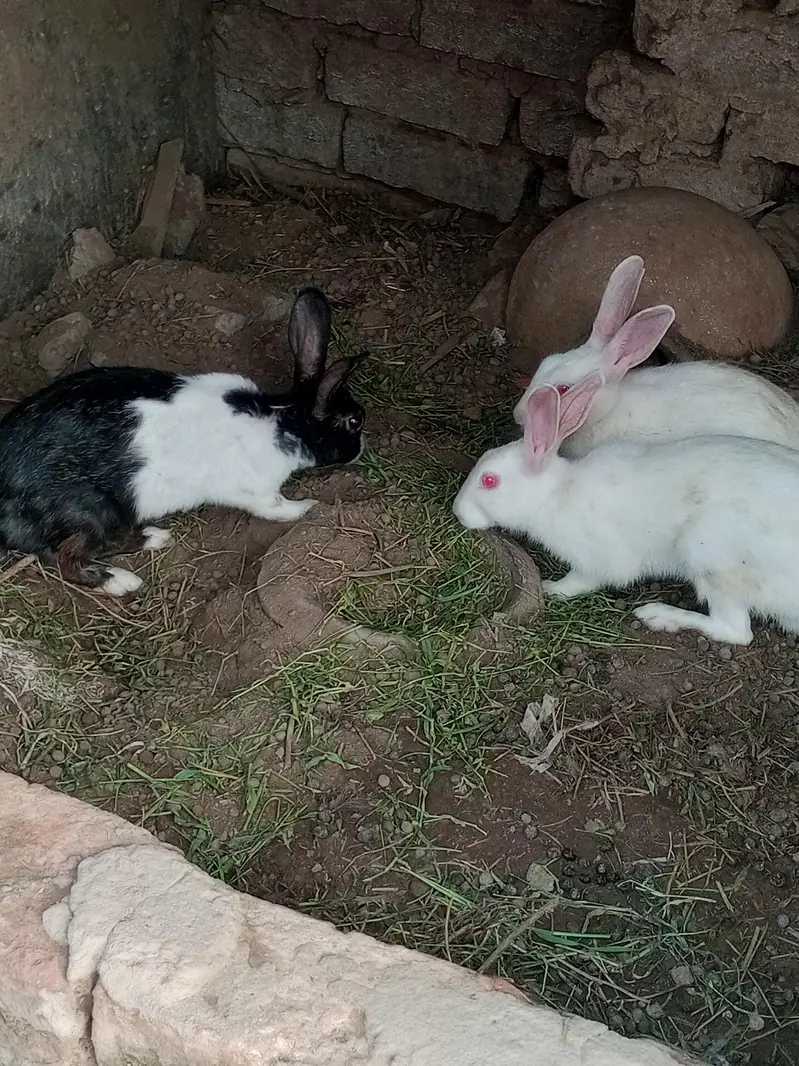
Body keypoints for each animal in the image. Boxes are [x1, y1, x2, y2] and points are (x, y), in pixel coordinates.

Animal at [0, 286, 364, 596]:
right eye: (355, 421)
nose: (360, 450)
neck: (285, 420)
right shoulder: (258, 493)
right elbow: (279, 509)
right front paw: (309, 507)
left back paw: (154, 537)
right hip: (91, 512)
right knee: (68, 559)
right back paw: (122, 581)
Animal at [454, 375, 799, 646]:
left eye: (489, 480)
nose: (458, 512)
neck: (555, 494)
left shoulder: (596, 558)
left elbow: (582, 581)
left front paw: (551, 589)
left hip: (711, 557)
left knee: (736, 631)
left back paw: (658, 615)